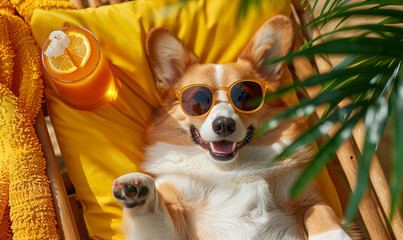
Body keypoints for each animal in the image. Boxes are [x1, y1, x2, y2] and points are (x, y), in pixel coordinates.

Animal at [112, 15, 352, 240]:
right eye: (197, 100)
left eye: (245, 96)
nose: (224, 125)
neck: (232, 170)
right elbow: (156, 208)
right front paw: (137, 188)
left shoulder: (302, 190)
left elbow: (320, 211)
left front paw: (333, 235)